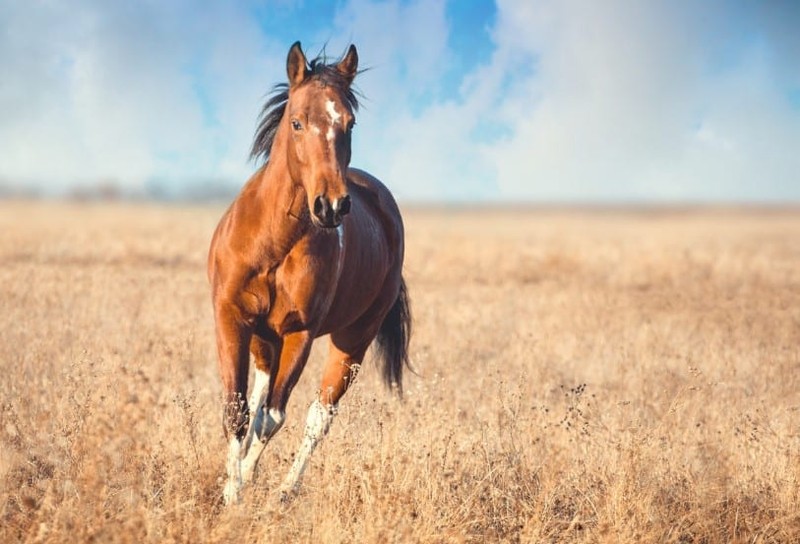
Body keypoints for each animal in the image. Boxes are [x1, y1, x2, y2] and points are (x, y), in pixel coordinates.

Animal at [208, 42, 412, 506]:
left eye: (350, 123)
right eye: (297, 122)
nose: (331, 206)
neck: (272, 243)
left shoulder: (299, 334)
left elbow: (273, 418)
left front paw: (241, 490)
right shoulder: (232, 318)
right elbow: (239, 411)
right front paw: (231, 490)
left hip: (351, 340)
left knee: (319, 416)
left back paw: (284, 491)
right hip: (264, 340)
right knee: (259, 400)